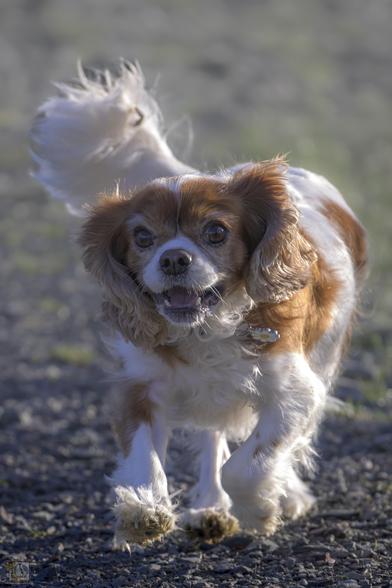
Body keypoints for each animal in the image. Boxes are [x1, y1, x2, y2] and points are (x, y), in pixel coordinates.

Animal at [30, 59, 368, 548]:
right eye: (143, 237)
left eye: (216, 232)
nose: (174, 258)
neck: (206, 327)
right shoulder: (139, 386)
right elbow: (144, 456)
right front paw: (144, 509)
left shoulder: (296, 394)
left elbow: (248, 465)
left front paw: (261, 508)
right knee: (212, 438)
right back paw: (210, 508)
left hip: (324, 357)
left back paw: (278, 496)